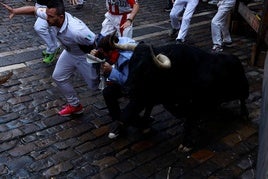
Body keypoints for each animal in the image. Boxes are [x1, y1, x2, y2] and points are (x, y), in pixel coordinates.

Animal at [119, 43, 249, 147]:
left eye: (145, 69)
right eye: (130, 64)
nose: (125, 90)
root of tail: (235, 59)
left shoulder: (195, 102)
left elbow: (188, 120)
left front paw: (187, 143)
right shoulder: (151, 97)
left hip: (242, 89)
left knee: (243, 99)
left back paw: (244, 115)